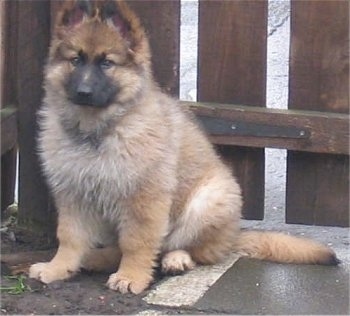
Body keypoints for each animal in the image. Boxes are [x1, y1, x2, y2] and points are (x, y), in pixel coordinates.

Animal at [29, 0, 340, 296]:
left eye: (107, 63)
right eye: (75, 60)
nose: (83, 92)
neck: (98, 130)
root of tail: (234, 236)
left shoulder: (145, 199)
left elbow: (137, 242)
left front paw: (132, 276)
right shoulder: (72, 194)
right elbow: (69, 237)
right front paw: (58, 268)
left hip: (208, 201)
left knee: (191, 250)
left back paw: (175, 260)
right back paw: (96, 258)